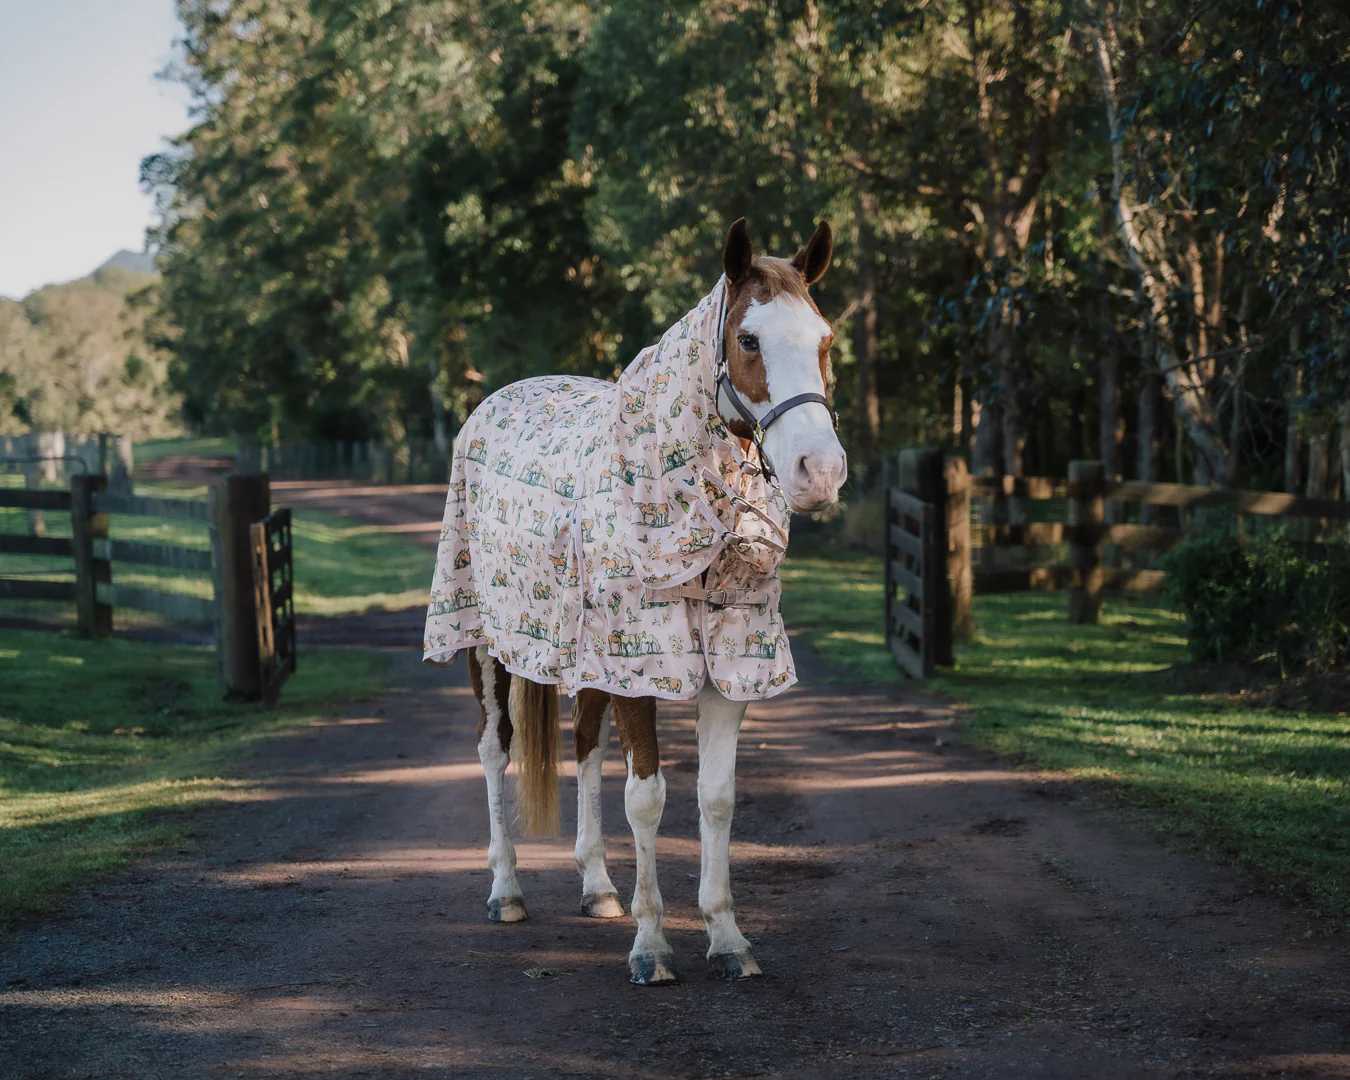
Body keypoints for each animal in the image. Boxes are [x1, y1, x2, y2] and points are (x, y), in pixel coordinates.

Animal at [424, 218, 847, 984]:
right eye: (748, 340)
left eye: (824, 338)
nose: (820, 471)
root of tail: (495, 402)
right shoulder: (642, 666)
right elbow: (647, 799)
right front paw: (652, 947)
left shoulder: (730, 668)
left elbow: (716, 798)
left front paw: (728, 938)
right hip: (483, 643)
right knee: (495, 748)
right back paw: (506, 890)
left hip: (588, 661)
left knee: (585, 745)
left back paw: (596, 886)